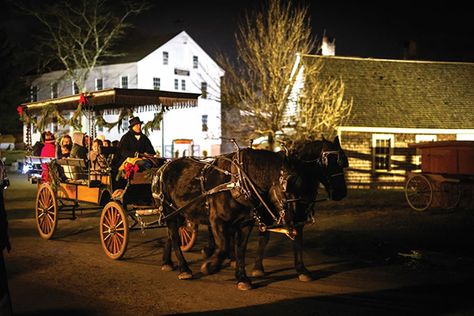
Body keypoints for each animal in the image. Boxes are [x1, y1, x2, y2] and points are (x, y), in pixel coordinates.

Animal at [152, 148, 300, 288]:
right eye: (287, 184)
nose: (295, 222)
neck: (238, 182)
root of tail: (161, 169)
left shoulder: (245, 224)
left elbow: (240, 249)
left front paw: (242, 278)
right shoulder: (217, 221)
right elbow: (223, 246)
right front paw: (209, 266)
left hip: (180, 213)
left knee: (171, 235)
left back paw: (167, 262)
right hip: (169, 212)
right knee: (175, 238)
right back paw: (184, 269)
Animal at [250, 136, 350, 282]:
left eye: (342, 163)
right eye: (327, 162)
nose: (341, 192)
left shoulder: (299, 216)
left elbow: (298, 240)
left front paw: (301, 270)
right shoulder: (270, 214)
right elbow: (263, 238)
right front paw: (257, 268)